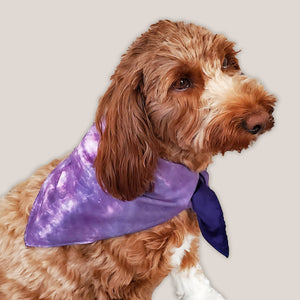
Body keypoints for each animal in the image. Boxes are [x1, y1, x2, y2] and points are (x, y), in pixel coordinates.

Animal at [0, 19, 276, 298]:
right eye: (182, 82)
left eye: (227, 62)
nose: (260, 118)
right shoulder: (118, 285)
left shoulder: (185, 250)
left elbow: (194, 278)